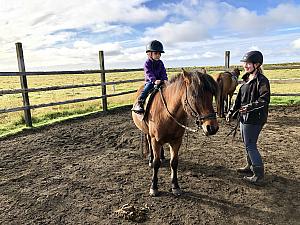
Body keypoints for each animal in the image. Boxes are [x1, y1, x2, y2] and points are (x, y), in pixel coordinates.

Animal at [132, 69, 219, 197]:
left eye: (212, 94)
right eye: (195, 95)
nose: (212, 128)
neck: (166, 113)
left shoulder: (176, 141)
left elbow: (174, 162)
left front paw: (175, 186)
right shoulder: (155, 140)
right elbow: (156, 163)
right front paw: (154, 187)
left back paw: (162, 156)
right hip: (148, 133)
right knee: (149, 143)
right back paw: (150, 158)